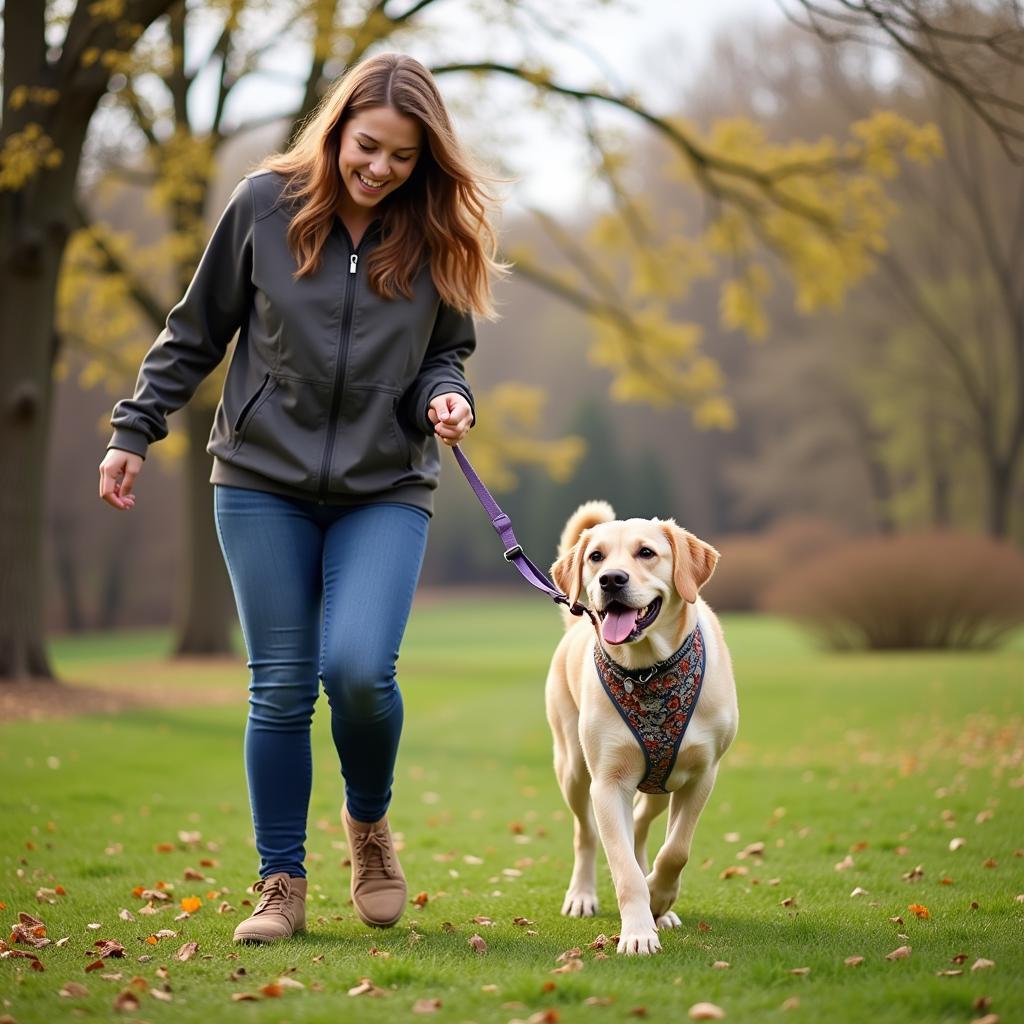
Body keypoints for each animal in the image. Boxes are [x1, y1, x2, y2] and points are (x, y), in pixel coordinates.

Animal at [548, 499, 741, 954]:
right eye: (596, 556)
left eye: (646, 553)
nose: (611, 579)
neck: (649, 671)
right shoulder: (608, 781)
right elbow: (623, 868)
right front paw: (638, 931)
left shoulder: (702, 774)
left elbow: (676, 850)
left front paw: (660, 898)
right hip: (573, 767)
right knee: (586, 833)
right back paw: (582, 895)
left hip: (661, 781)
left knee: (640, 822)